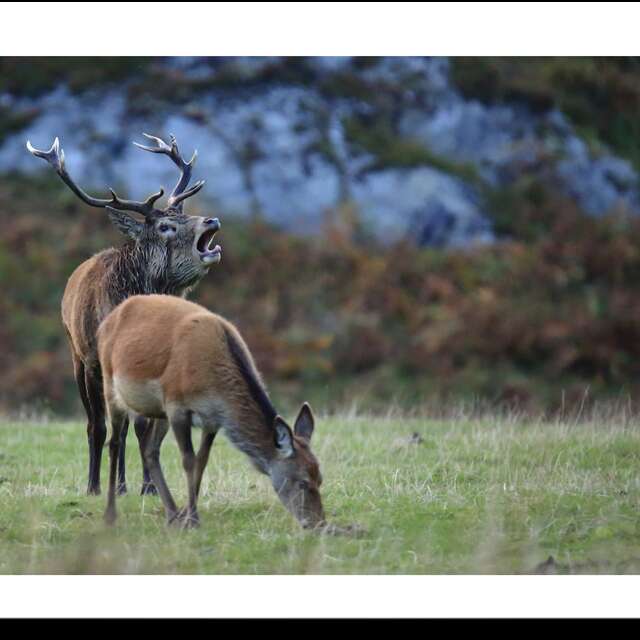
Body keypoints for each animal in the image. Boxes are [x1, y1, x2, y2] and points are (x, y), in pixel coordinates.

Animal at [27, 134, 222, 497]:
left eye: (185, 213)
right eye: (166, 226)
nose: (212, 220)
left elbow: (144, 427)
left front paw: (149, 486)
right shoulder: (93, 361)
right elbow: (100, 427)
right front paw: (93, 486)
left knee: (129, 424)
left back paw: (123, 484)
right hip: (77, 356)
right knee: (99, 423)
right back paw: (106, 483)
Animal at [97, 294, 326, 530]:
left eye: (320, 479)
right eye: (302, 482)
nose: (318, 523)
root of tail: (110, 318)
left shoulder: (211, 420)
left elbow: (202, 460)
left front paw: (188, 515)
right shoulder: (176, 405)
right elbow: (188, 460)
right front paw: (193, 520)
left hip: (159, 411)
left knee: (149, 449)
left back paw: (172, 514)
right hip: (110, 383)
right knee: (115, 442)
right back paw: (110, 513)